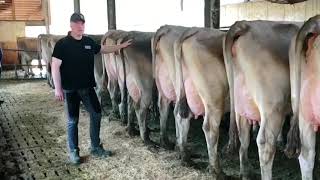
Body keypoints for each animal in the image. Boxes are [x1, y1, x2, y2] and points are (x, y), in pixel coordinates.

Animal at [224, 20, 302, 179]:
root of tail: (246, 25)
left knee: (243, 137)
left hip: (242, 105)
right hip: (272, 107)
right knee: (265, 142)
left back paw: (245, 172)